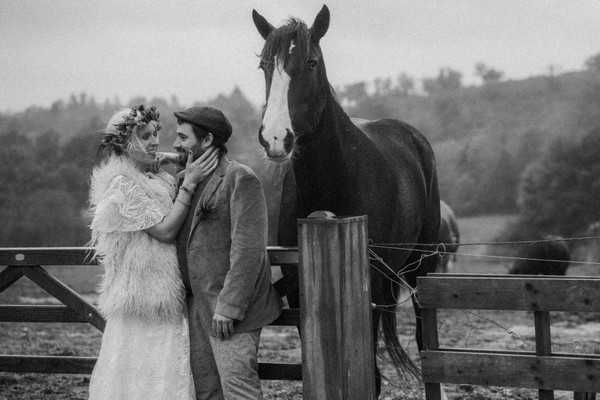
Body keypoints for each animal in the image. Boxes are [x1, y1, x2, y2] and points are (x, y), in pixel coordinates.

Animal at [253, 5, 440, 394]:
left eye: (310, 62)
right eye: (264, 65)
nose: (275, 138)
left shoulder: (367, 287)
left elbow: (372, 375)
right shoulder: (298, 287)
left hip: (424, 265)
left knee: (424, 337)